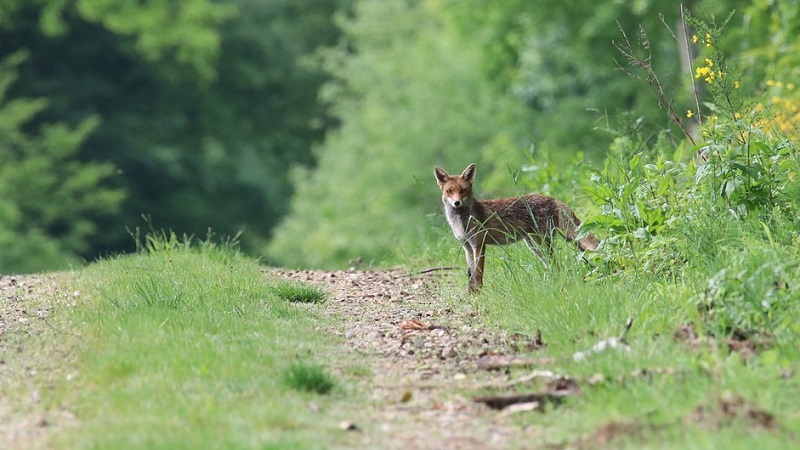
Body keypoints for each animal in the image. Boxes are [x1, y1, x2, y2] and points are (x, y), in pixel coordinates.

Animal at [434, 163, 596, 292]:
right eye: (449, 191)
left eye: (463, 190)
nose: (457, 203)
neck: (462, 222)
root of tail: (552, 198)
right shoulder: (467, 247)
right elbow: (470, 274)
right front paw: (470, 293)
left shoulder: (479, 245)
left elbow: (478, 274)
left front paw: (480, 294)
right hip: (534, 246)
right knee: (553, 265)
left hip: (541, 243)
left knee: (557, 264)